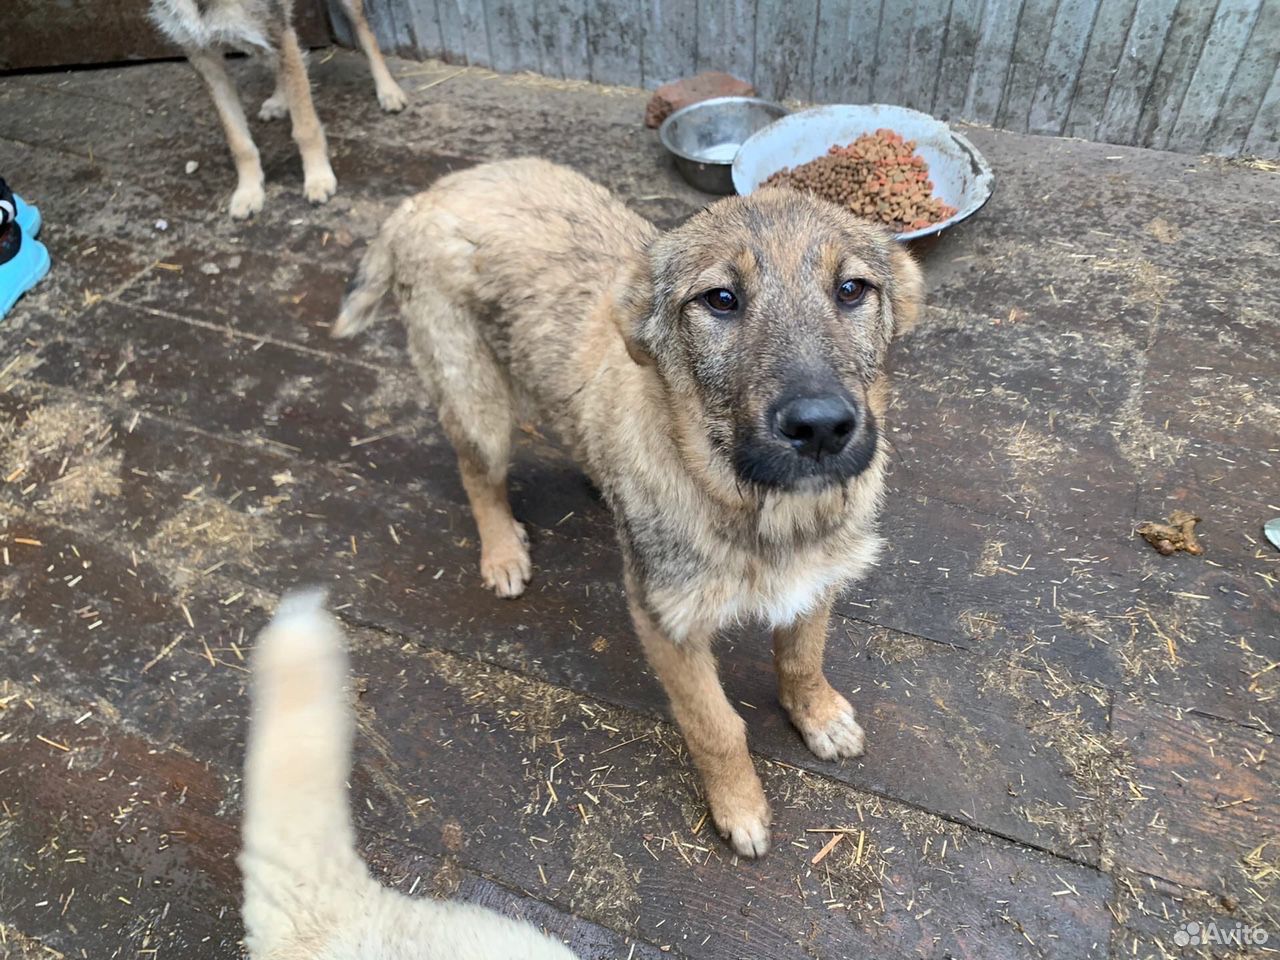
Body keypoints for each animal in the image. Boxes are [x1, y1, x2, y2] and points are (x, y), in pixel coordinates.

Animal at [335, 161, 926, 860]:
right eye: (720, 299)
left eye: (852, 289)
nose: (820, 428)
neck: (754, 504)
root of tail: (434, 191)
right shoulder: (666, 622)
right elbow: (715, 725)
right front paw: (740, 808)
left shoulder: (815, 581)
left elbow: (802, 659)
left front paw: (819, 716)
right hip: (477, 401)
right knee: (478, 474)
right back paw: (502, 551)